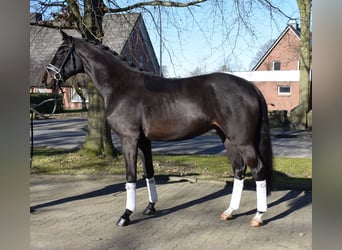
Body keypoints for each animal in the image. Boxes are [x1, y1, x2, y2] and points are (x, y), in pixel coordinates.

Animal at [45, 30, 274, 228]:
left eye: (61, 51)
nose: (47, 80)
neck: (121, 86)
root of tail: (250, 87)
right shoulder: (144, 141)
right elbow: (149, 172)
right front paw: (150, 208)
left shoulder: (129, 139)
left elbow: (130, 177)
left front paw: (126, 215)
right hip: (227, 138)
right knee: (239, 170)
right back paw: (229, 212)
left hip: (243, 141)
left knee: (258, 169)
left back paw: (258, 216)